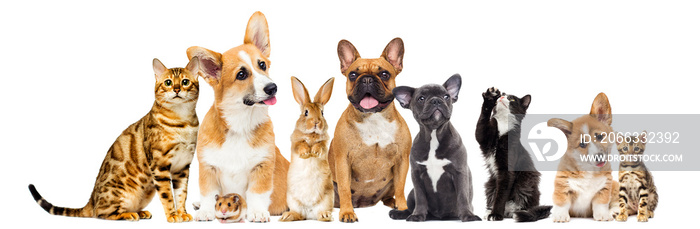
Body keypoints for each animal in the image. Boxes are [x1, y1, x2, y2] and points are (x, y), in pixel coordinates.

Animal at [28, 56, 200, 222]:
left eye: (185, 82)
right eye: (168, 82)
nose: (177, 89)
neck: (183, 121)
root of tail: (91, 200)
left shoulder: (182, 167)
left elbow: (181, 194)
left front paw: (182, 213)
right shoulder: (160, 166)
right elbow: (167, 195)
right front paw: (172, 215)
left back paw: (140, 212)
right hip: (120, 192)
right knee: (101, 213)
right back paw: (128, 215)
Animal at [187, 11, 288, 223]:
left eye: (262, 65)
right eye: (241, 74)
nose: (273, 87)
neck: (240, 124)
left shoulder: (262, 165)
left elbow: (257, 193)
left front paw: (257, 212)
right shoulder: (207, 166)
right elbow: (208, 192)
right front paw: (206, 211)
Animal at [278, 77, 334, 222]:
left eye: (322, 113)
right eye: (306, 112)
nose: (316, 122)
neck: (311, 134)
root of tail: (309, 213)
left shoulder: (325, 143)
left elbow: (320, 146)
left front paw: (314, 152)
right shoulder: (295, 142)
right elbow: (300, 145)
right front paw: (306, 153)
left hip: (327, 198)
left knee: (320, 213)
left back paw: (325, 216)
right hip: (292, 200)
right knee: (299, 215)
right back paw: (287, 216)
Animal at [476, 87, 552, 221]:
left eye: (512, 99)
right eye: (502, 94)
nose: (501, 97)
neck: (503, 125)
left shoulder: (507, 170)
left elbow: (501, 194)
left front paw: (496, 214)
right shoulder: (484, 137)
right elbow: (480, 126)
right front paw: (490, 97)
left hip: (526, 183)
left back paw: (518, 212)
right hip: (490, 184)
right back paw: (489, 211)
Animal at [548, 92, 620, 222]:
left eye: (600, 136)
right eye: (582, 144)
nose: (599, 157)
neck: (588, 169)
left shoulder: (605, 187)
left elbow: (601, 203)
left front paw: (603, 215)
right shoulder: (563, 185)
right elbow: (562, 202)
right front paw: (560, 215)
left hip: (616, 186)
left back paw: (615, 211)